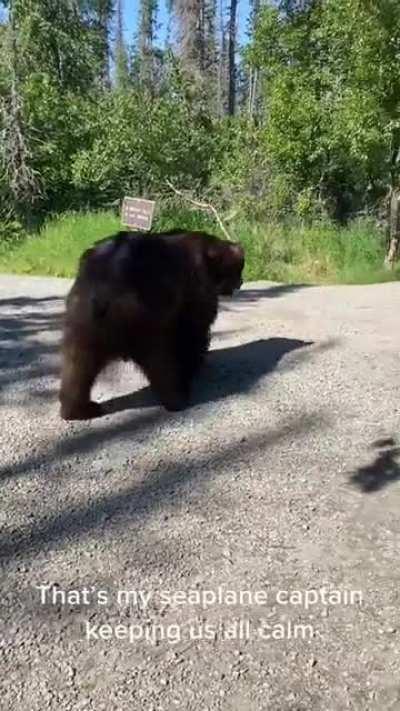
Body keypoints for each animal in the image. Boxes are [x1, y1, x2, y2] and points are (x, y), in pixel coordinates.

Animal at [59, 229, 245, 420]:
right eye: (239, 268)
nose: (241, 282)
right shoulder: (196, 287)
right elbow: (195, 330)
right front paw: (193, 365)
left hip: (83, 319)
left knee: (77, 366)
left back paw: (78, 409)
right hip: (146, 314)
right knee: (160, 360)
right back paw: (178, 398)